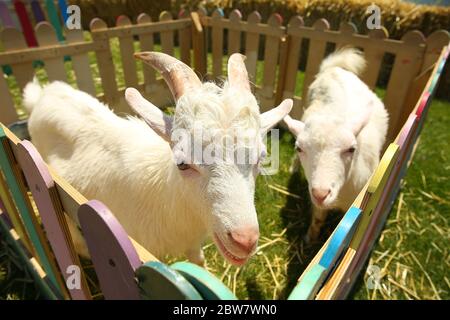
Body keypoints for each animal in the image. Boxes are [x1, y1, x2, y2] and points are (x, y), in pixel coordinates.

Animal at [24, 52, 294, 264]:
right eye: (182, 163)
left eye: (261, 157)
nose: (244, 240)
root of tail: (42, 95)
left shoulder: (192, 242)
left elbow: (199, 261)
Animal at [284, 47, 386, 241]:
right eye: (299, 148)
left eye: (351, 149)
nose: (320, 194)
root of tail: (334, 68)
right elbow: (317, 218)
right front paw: (310, 238)